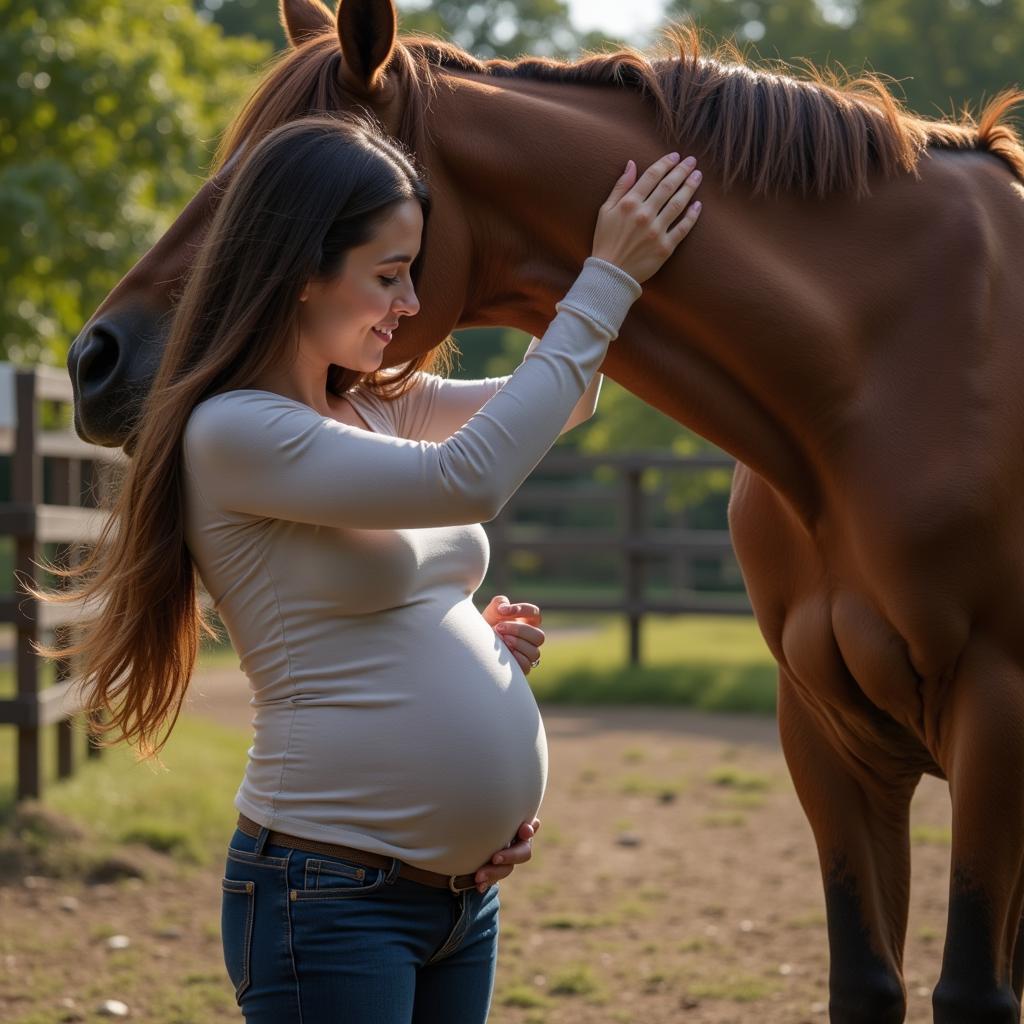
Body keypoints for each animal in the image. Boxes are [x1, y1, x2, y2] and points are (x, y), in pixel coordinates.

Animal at [66, 4, 1024, 1019]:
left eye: (263, 190)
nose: (95, 361)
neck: (889, 373)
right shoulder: (824, 731)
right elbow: (868, 981)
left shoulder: (996, 712)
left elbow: (972, 990)